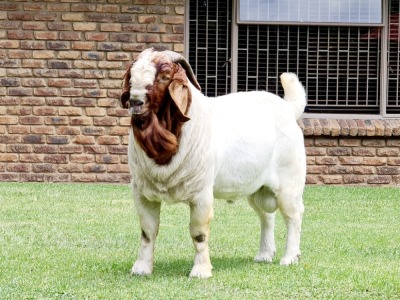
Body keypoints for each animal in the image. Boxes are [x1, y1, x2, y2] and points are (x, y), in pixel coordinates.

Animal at [120, 47, 308, 278]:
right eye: (131, 75)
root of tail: (289, 108)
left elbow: (199, 233)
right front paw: (141, 268)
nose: (135, 102)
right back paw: (264, 254)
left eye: (164, 76)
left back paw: (289, 257)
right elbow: (148, 231)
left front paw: (201, 271)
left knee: (293, 216)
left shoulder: (201, 193)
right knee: (266, 216)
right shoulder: (142, 193)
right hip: (257, 188)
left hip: (289, 185)